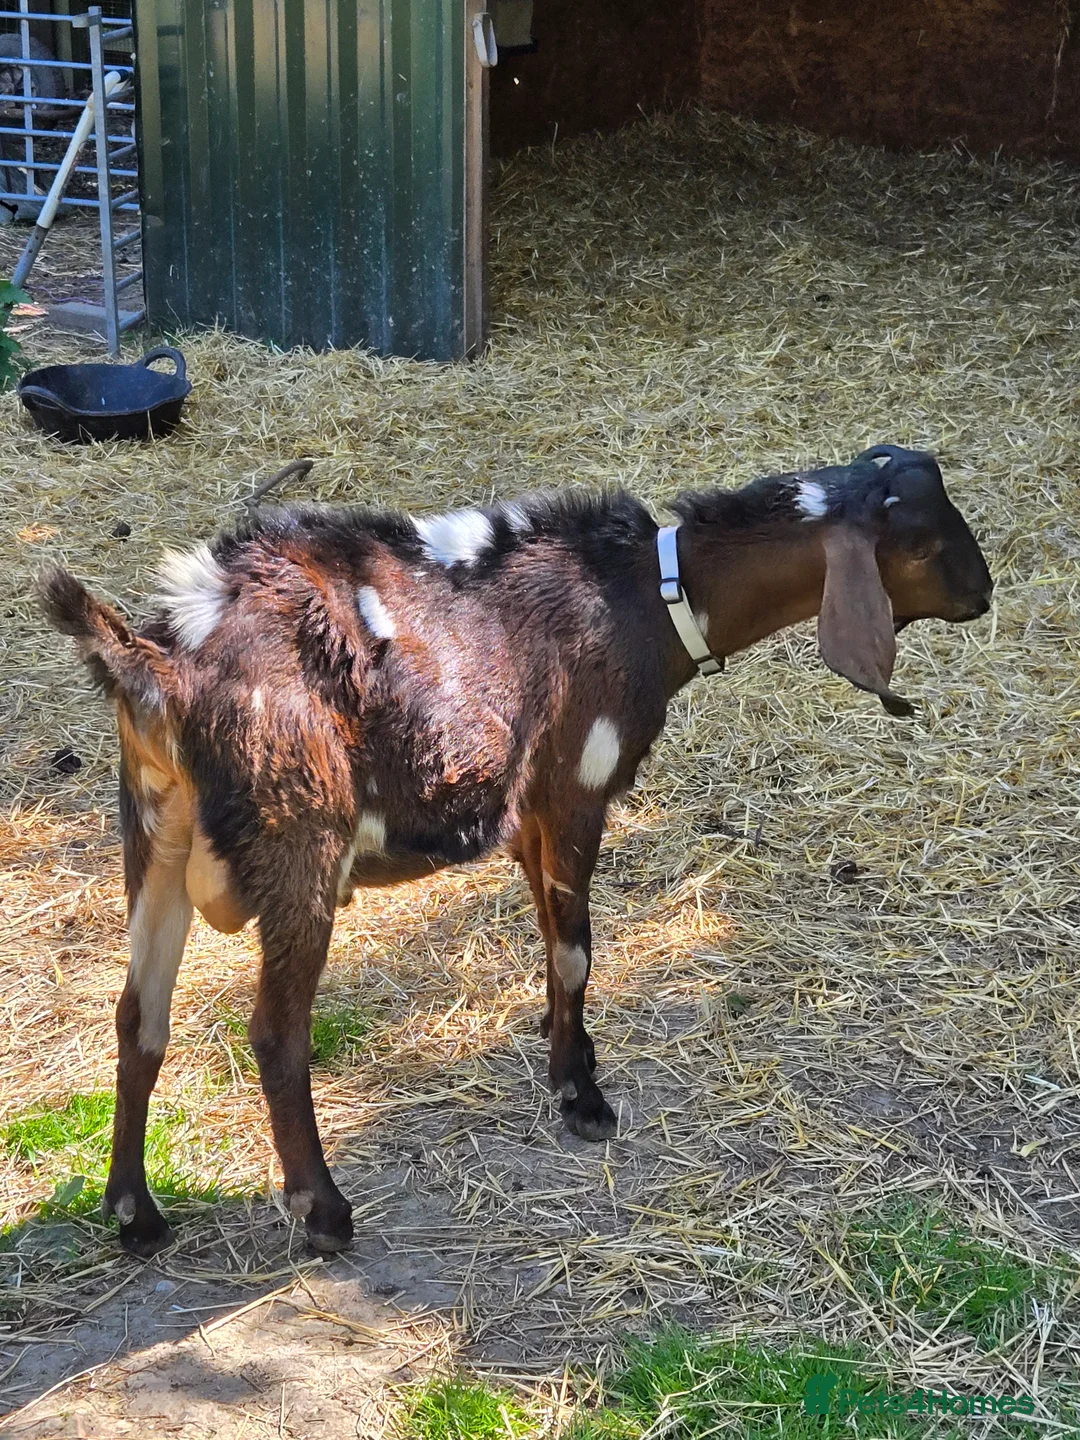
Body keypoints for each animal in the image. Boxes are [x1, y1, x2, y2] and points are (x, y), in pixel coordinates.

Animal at [39, 444, 992, 1256]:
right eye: (917, 539)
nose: (984, 594)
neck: (648, 596)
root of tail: (159, 660)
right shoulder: (574, 785)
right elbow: (575, 947)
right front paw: (583, 1098)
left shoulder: (526, 812)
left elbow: (548, 935)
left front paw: (569, 1050)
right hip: (298, 840)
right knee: (277, 1032)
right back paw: (325, 1213)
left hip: (152, 836)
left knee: (139, 1017)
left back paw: (134, 1214)